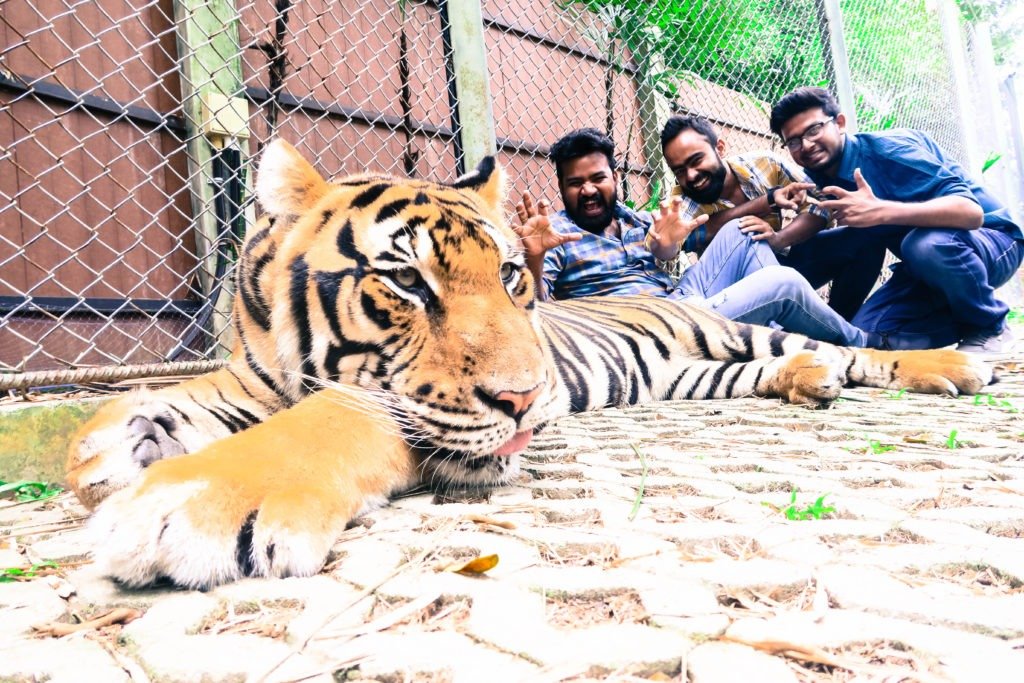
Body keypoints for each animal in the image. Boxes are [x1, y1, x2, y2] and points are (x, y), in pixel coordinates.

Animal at [66, 139, 993, 589]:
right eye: (408, 280)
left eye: (513, 275)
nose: (523, 398)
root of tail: (681, 300)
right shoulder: (247, 379)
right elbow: (154, 402)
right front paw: (106, 451)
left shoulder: (402, 413)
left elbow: (328, 419)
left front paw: (199, 500)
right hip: (689, 374)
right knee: (788, 366)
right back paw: (810, 385)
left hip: (739, 336)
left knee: (847, 350)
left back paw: (953, 363)